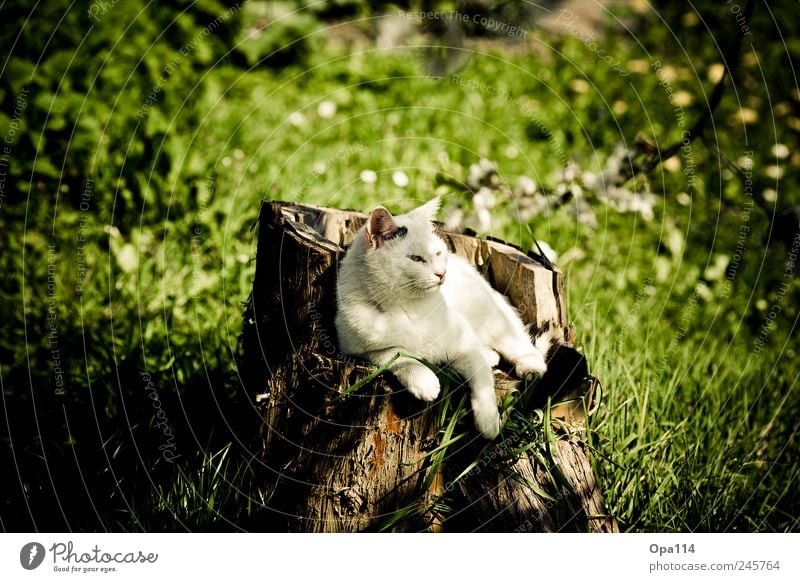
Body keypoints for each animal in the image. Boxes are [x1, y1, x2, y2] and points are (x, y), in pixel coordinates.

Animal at [334, 200, 552, 438]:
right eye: (416, 258)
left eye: (438, 252)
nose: (441, 273)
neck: (407, 306)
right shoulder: (355, 348)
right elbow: (397, 354)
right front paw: (425, 381)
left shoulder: (464, 341)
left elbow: (482, 379)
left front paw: (489, 423)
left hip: (493, 320)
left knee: (521, 346)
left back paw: (530, 367)